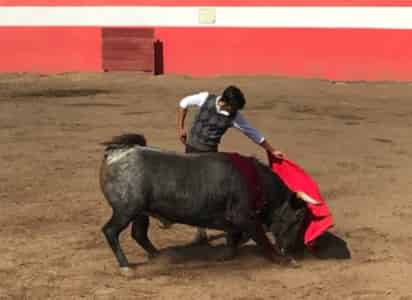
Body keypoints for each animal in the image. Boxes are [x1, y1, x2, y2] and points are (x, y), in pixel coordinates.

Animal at [100, 134, 316, 270]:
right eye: (298, 218)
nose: (293, 249)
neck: (258, 182)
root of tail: (116, 153)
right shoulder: (244, 217)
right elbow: (262, 240)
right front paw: (284, 260)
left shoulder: (236, 220)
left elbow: (235, 237)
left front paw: (226, 255)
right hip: (126, 209)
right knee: (111, 231)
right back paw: (126, 266)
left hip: (140, 212)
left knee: (139, 233)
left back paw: (161, 256)